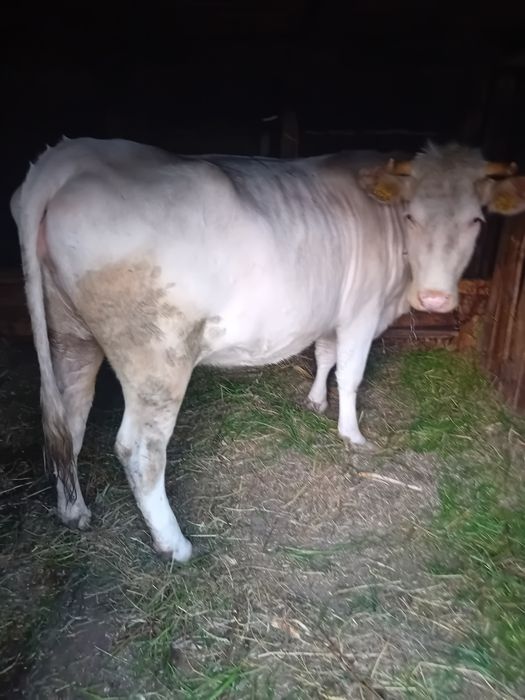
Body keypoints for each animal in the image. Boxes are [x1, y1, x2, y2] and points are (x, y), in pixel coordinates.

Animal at [10, 136, 525, 562]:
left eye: (476, 219)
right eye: (412, 216)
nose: (435, 299)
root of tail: (72, 156)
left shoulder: (330, 309)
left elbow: (325, 355)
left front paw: (316, 401)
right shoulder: (362, 309)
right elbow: (351, 372)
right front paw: (353, 434)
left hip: (70, 334)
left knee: (68, 420)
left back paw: (73, 511)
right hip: (158, 355)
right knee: (140, 449)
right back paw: (175, 545)